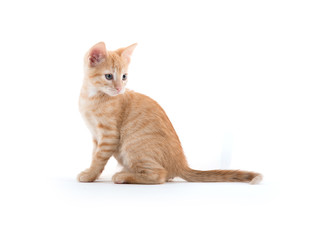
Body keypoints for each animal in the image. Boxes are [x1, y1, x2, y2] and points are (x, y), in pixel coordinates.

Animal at [77, 41, 262, 184]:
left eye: (124, 76)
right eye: (109, 76)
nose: (119, 89)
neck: (91, 97)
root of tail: (181, 164)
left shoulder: (109, 135)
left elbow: (99, 158)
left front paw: (89, 175)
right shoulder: (96, 136)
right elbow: (94, 155)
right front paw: (92, 174)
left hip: (132, 146)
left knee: (160, 176)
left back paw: (123, 176)